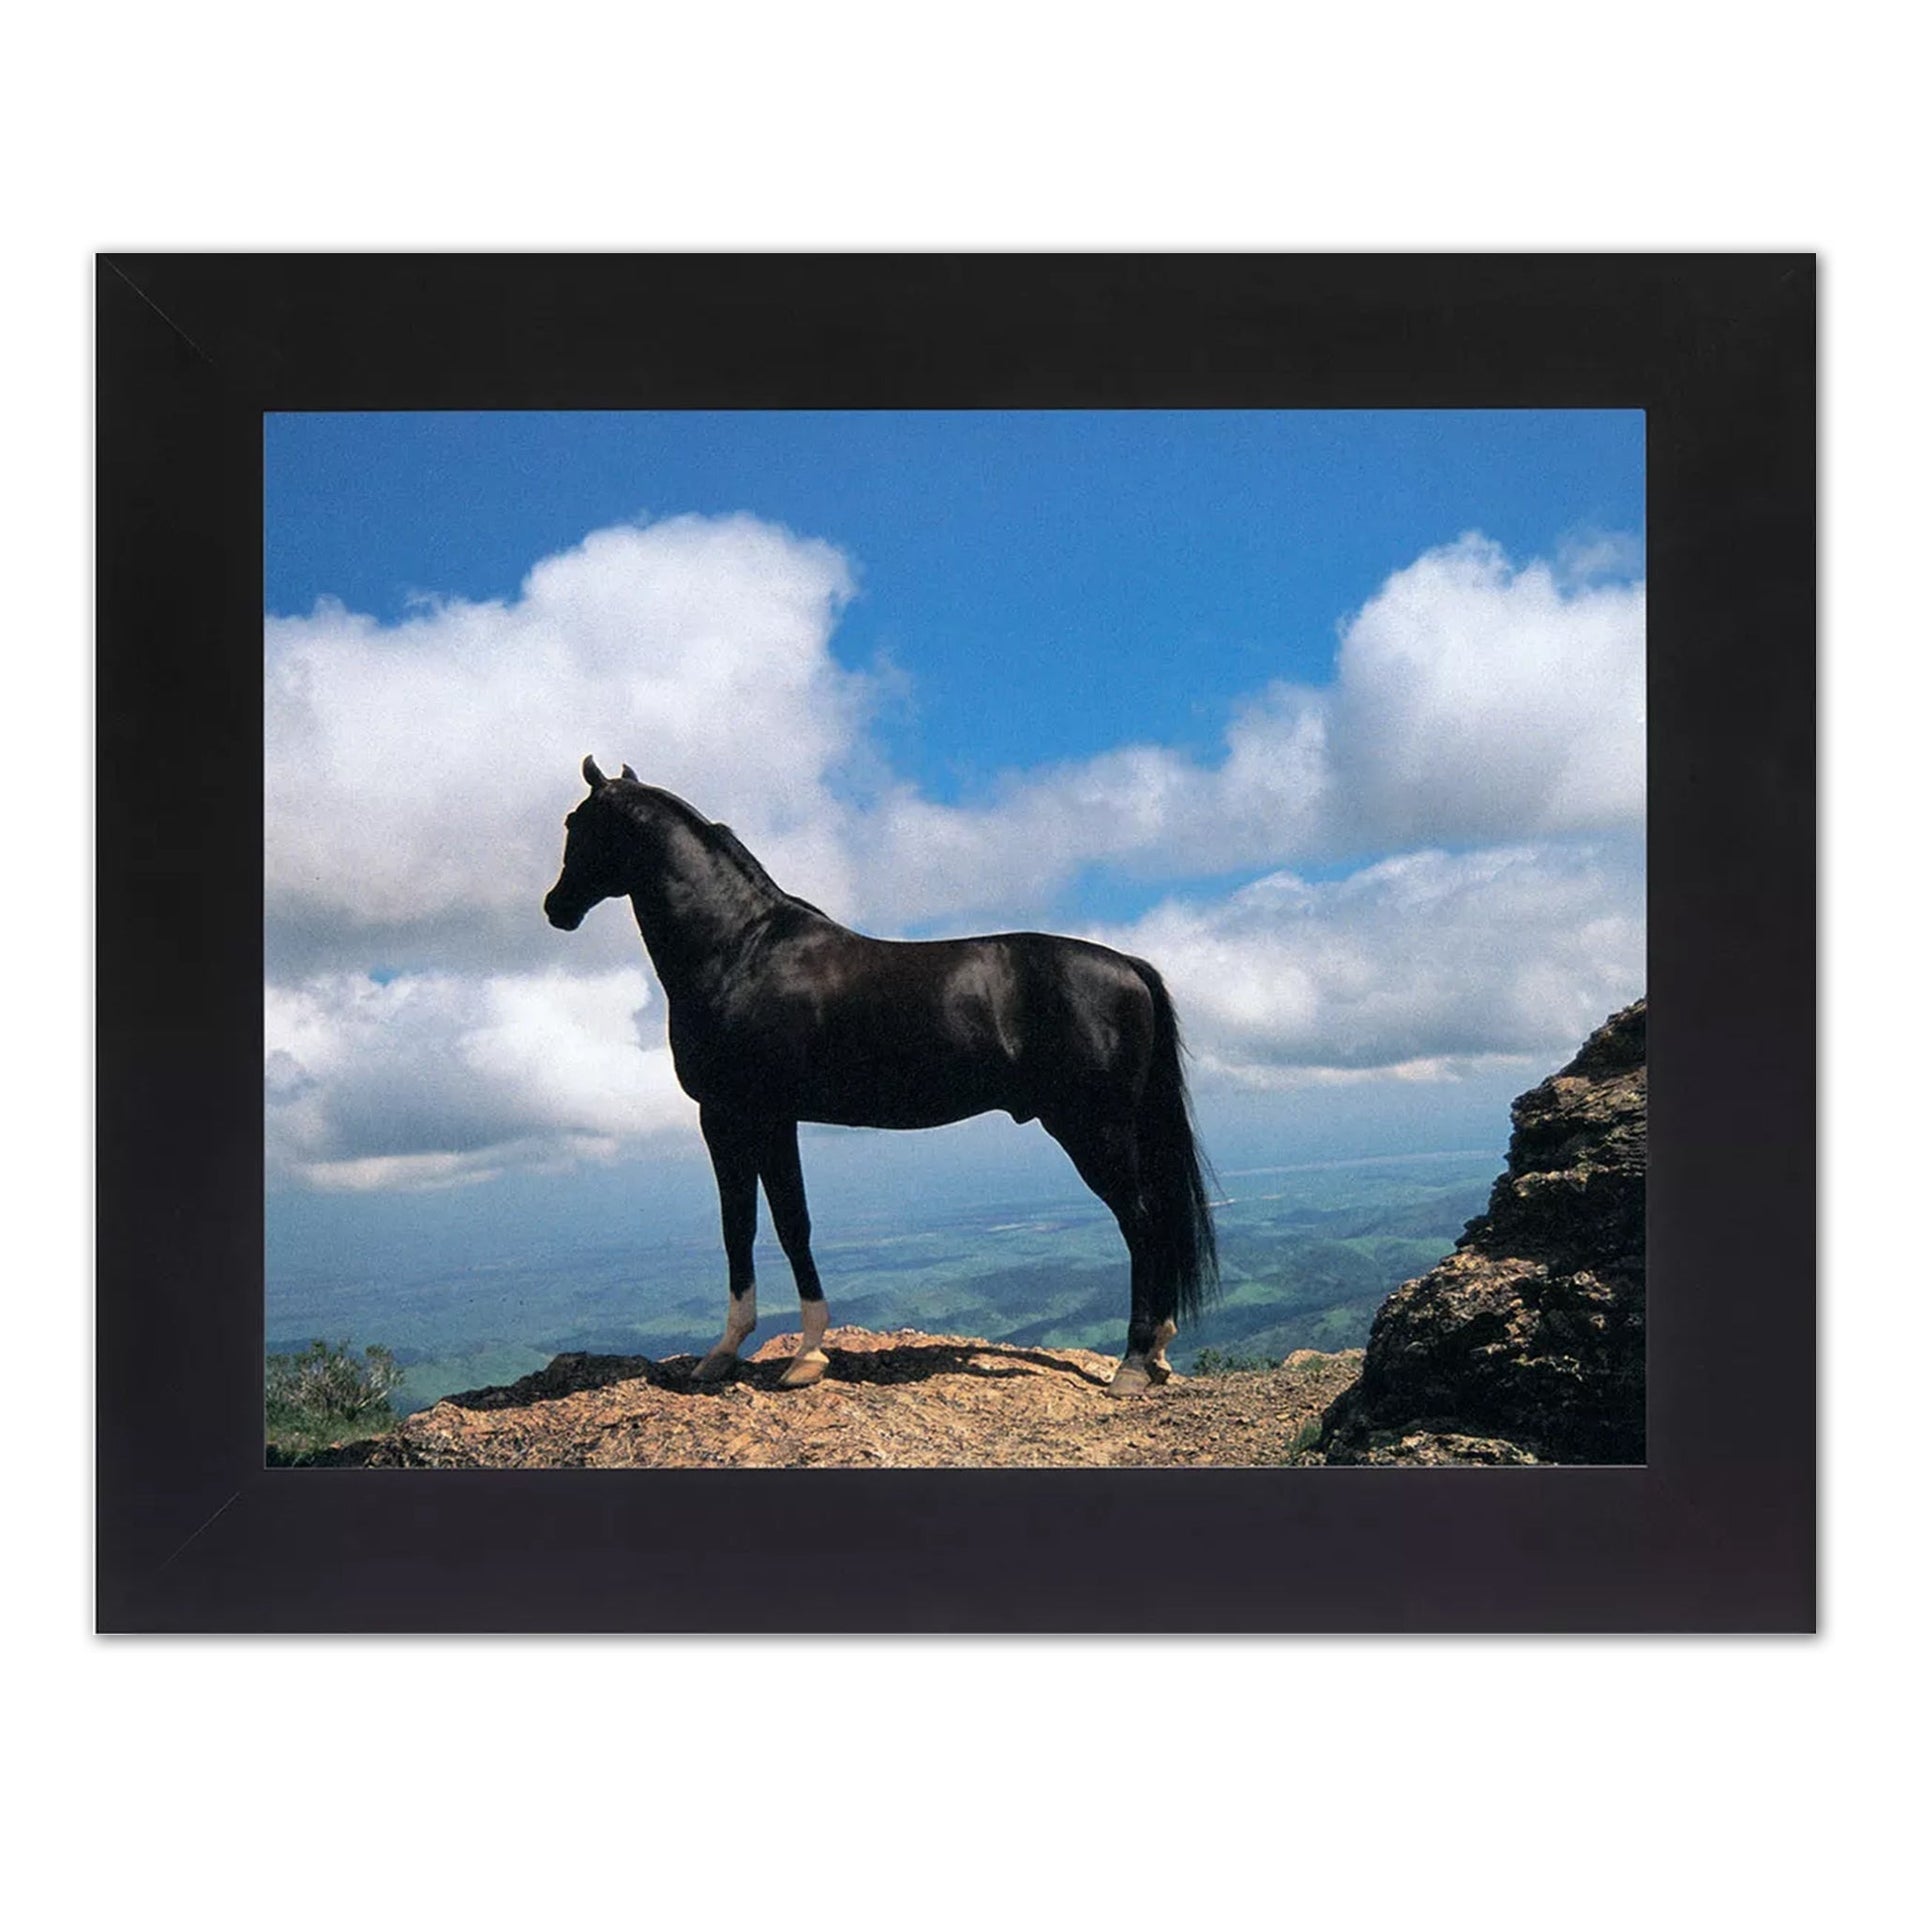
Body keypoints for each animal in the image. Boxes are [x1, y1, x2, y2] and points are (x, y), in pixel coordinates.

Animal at [543, 756, 1218, 1395]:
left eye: (576, 824)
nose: (555, 909)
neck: (739, 951)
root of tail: (1127, 965)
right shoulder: (744, 1118)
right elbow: (752, 1225)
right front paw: (733, 1352)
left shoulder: (751, 1114)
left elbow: (778, 1224)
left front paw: (800, 1356)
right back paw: (1157, 1351)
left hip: (1093, 1128)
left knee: (1141, 1222)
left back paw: (1131, 1363)